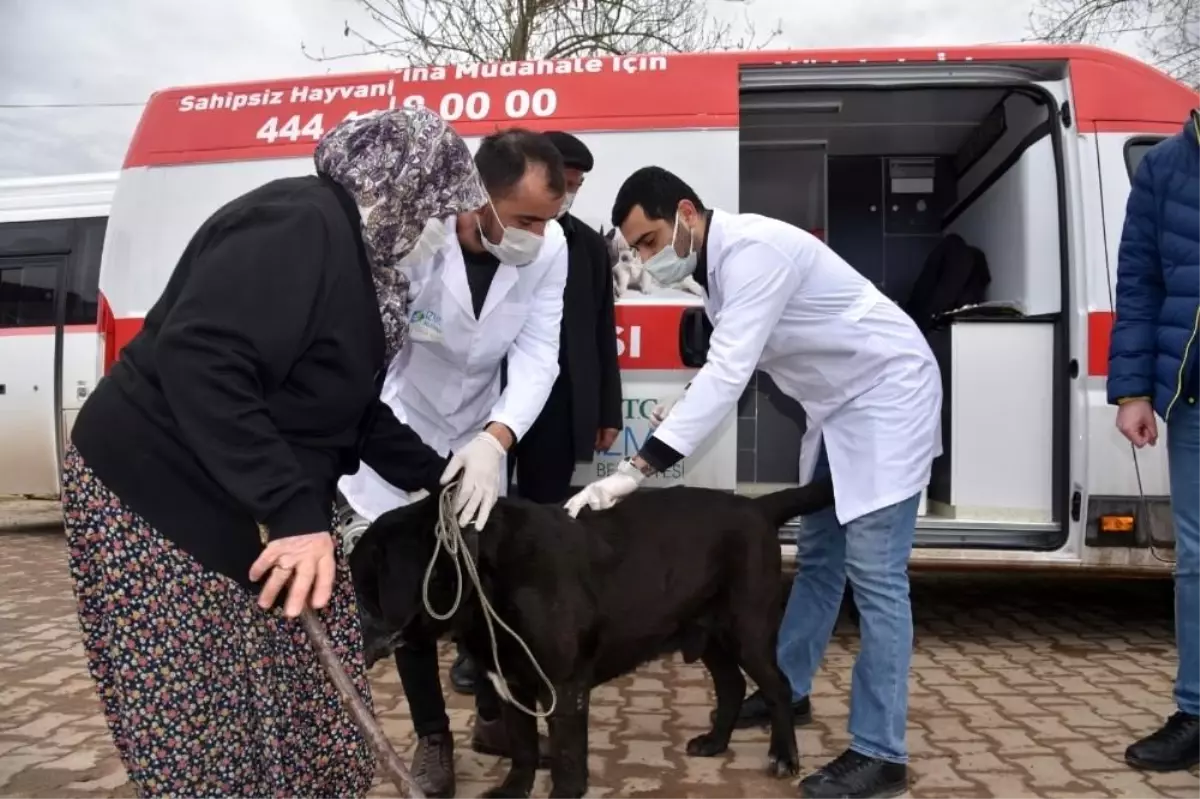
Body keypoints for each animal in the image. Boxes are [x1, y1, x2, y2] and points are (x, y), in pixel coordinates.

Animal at [348, 479, 835, 796]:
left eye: (359, 586)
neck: (482, 569)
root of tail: (759, 507)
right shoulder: (511, 685)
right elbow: (523, 749)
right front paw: (512, 791)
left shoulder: (563, 688)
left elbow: (565, 758)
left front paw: (563, 794)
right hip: (706, 631)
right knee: (731, 684)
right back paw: (715, 743)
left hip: (746, 629)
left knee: (777, 686)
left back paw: (784, 757)